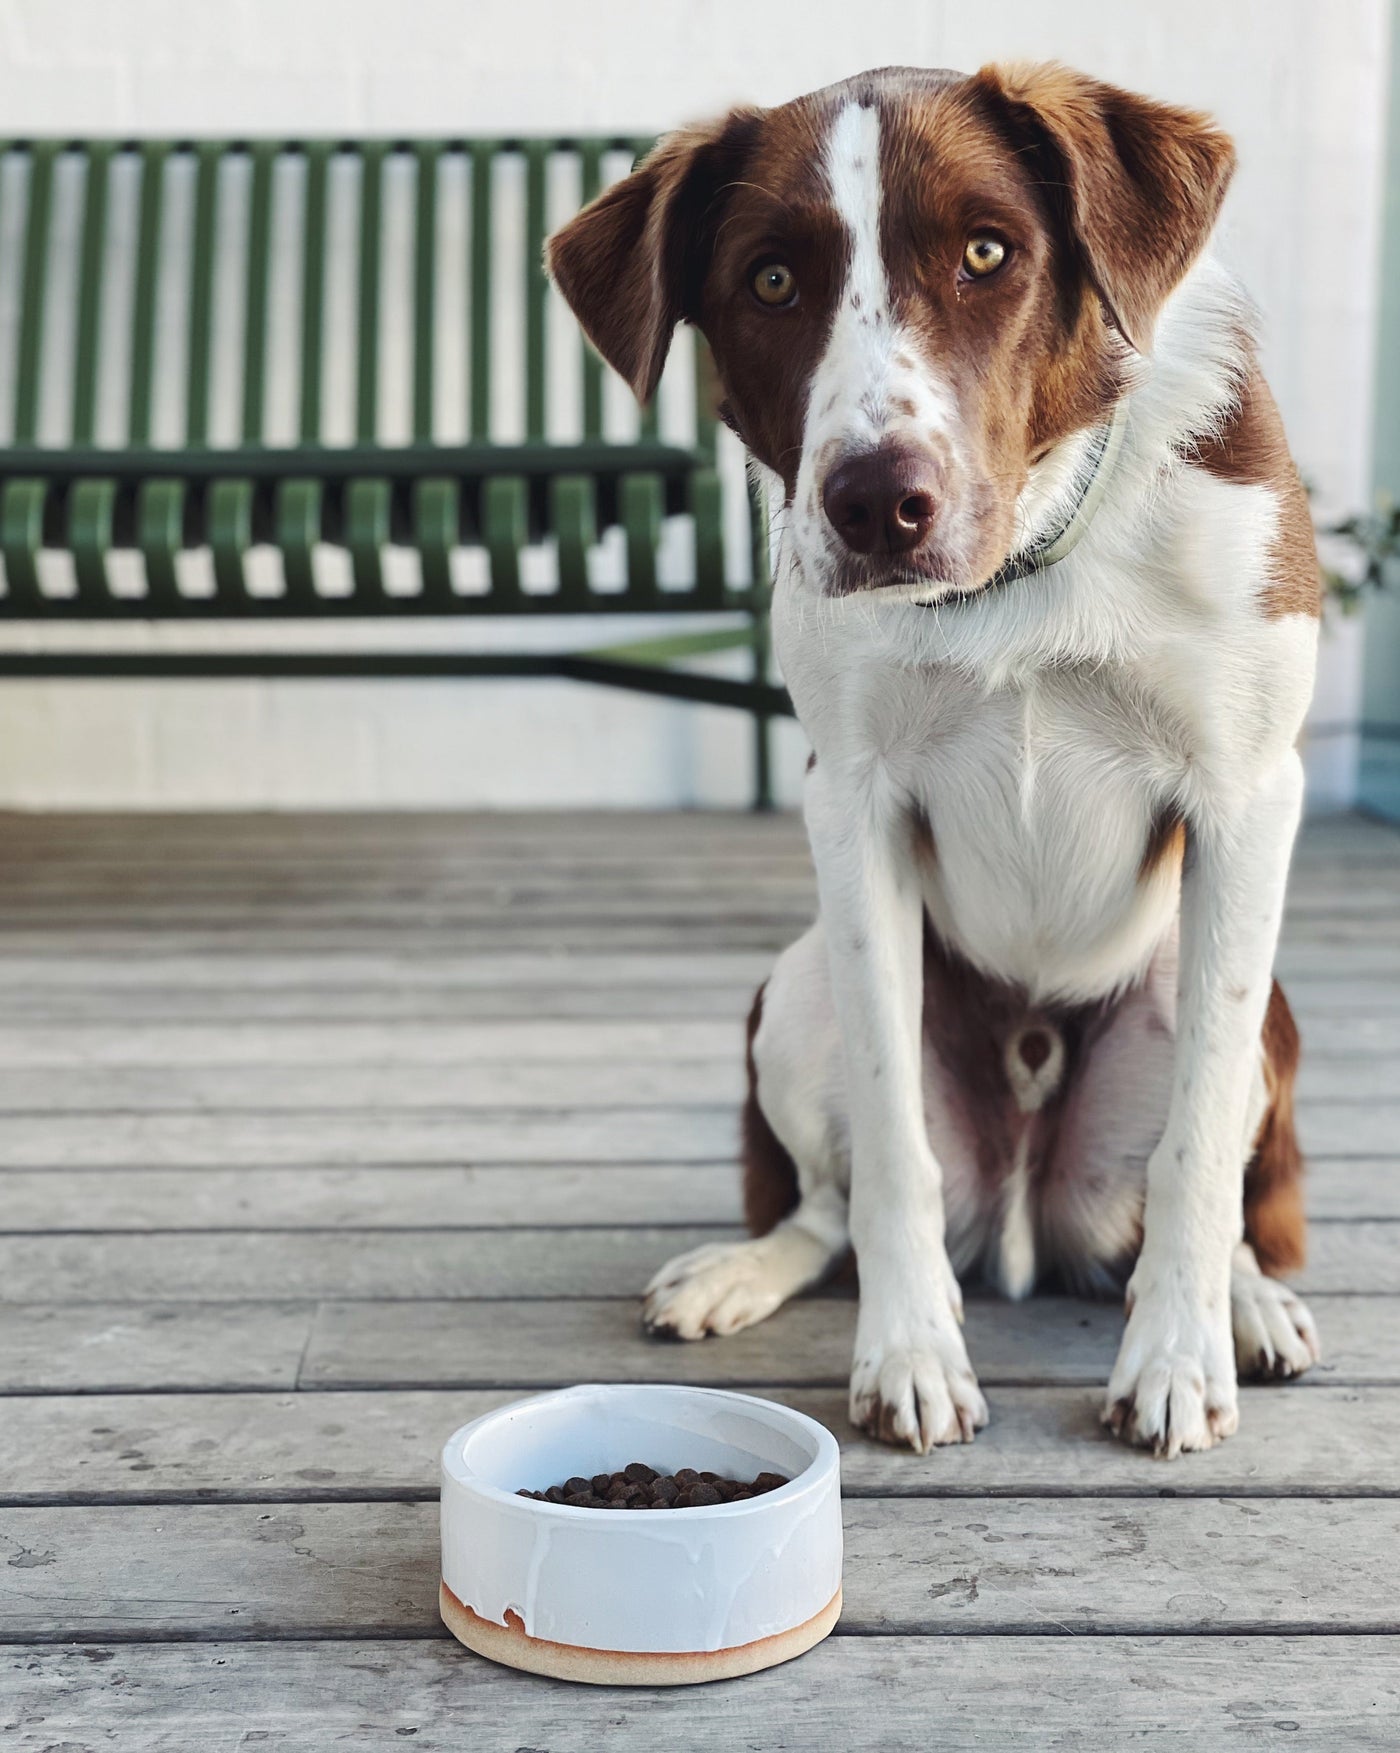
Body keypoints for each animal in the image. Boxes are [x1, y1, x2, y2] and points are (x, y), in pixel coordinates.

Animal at [550, 61, 1324, 1458]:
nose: (874, 503)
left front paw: (1174, 1360)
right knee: (821, 1202)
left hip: (1233, 1004)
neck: (1017, 574)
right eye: (769, 280)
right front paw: (907, 1352)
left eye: (984, 253)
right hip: (794, 985)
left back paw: (1241, 1303)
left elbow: (1192, 1154)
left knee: (1204, 1167)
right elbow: (889, 1141)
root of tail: (1022, 1220)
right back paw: (740, 1270)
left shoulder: (1249, 794)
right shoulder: (849, 806)